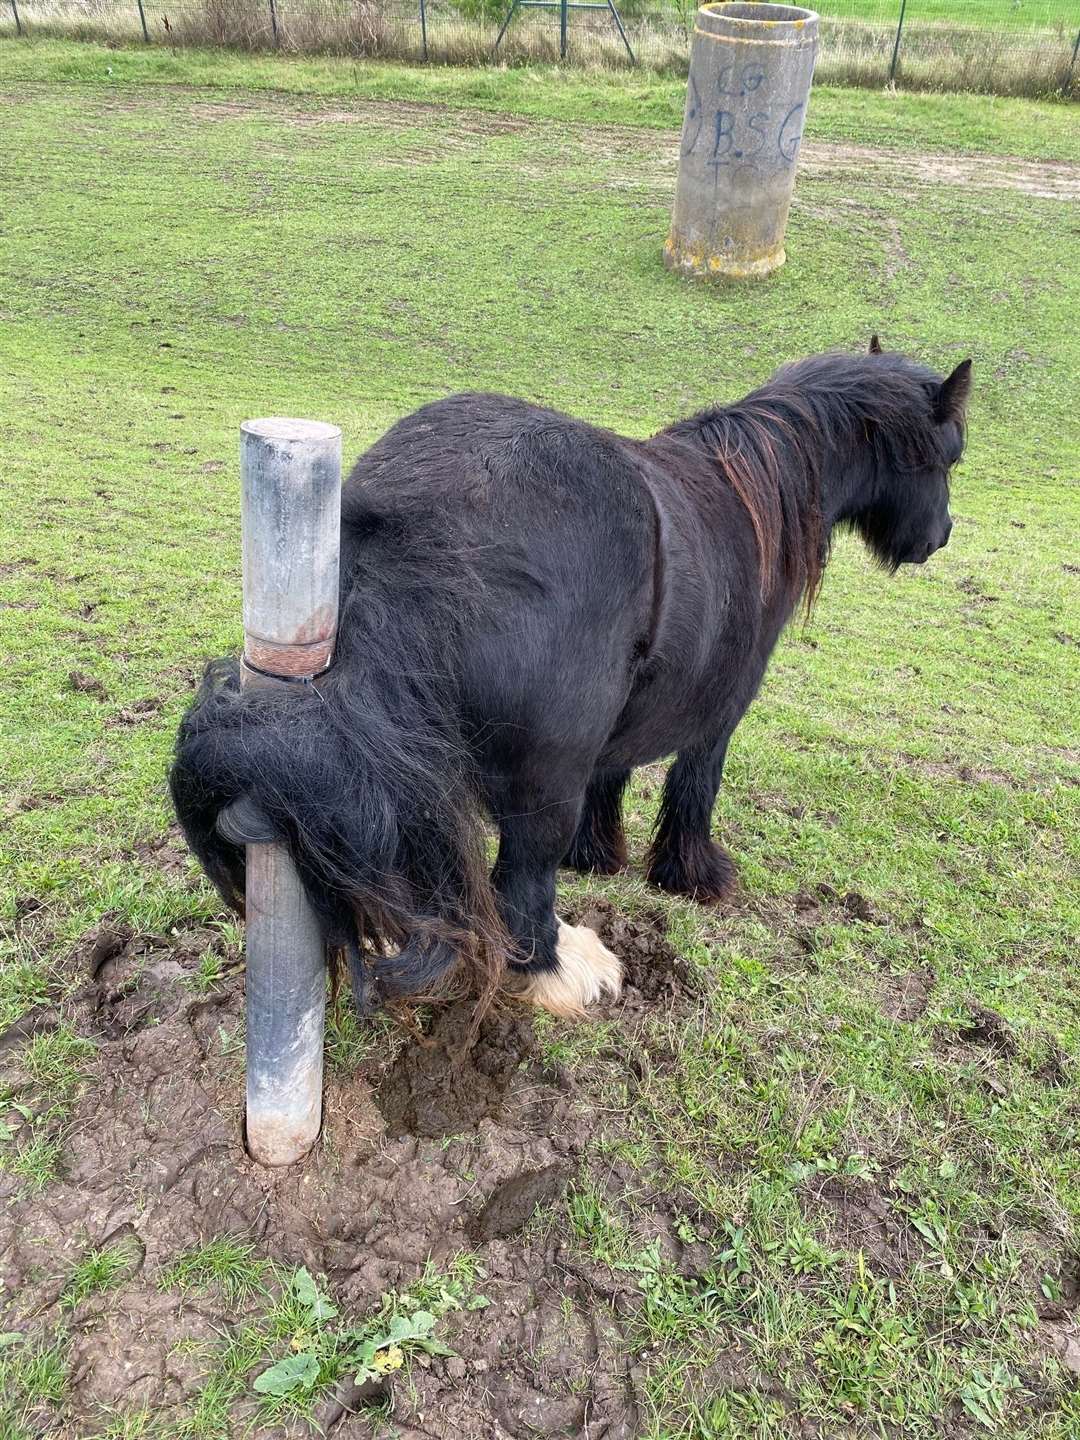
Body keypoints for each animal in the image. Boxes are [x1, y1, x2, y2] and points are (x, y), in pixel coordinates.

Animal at [171, 339, 973, 1013]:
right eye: (949, 458)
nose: (939, 537)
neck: (752, 492)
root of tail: (409, 510)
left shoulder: (629, 711)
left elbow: (613, 776)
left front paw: (600, 854)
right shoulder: (721, 707)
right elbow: (696, 785)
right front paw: (693, 873)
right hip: (542, 779)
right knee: (522, 885)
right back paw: (565, 970)